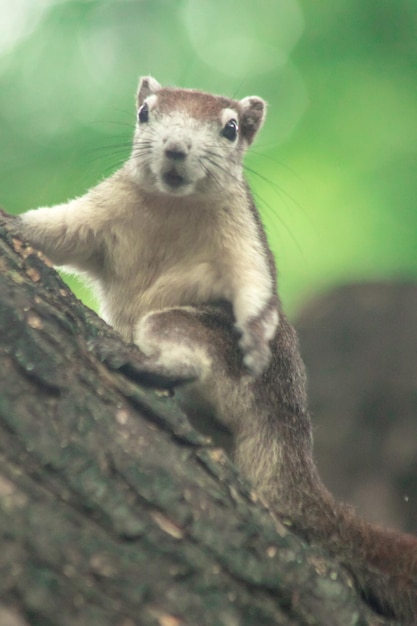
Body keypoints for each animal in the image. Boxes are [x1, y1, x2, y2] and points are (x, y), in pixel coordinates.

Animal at [19, 74, 416, 620]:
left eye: (230, 128)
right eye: (145, 112)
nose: (175, 148)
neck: (172, 206)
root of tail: (289, 438)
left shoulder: (243, 241)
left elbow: (254, 288)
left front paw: (254, 330)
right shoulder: (101, 215)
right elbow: (56, 232)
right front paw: (9, 225)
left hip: (193, 330)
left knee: (190, 357)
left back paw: (142, 364)